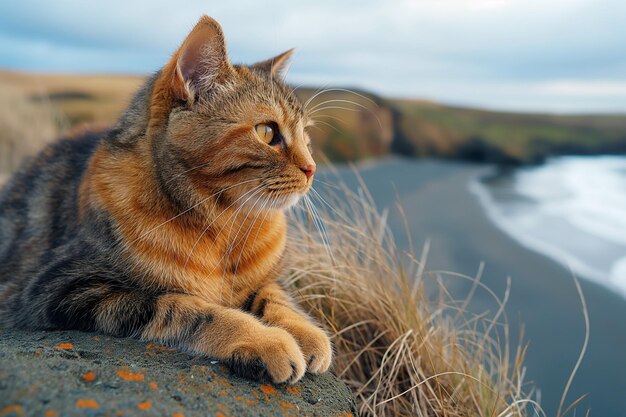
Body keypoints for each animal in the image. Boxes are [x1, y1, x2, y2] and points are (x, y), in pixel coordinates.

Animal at [0, 15, 332, 384]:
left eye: (306, 136)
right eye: (267, 132)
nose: (312, 168)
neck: (225, 227)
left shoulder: (266, 280)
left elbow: (276, 297)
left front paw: (306, 331)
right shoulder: (65, 287)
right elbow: (189, 308)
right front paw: (263, 339)